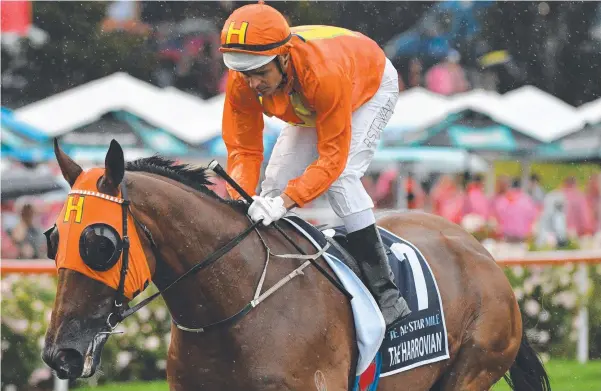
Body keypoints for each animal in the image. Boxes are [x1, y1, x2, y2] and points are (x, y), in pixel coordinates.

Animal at [42, 139, 548, 390]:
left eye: (99, 243)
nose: (60, 354)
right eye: (53, 240)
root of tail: (481, 251)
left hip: (474, 366)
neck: (234, 310)